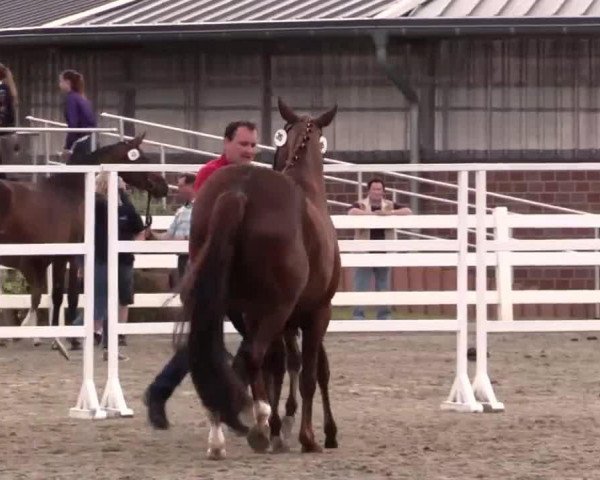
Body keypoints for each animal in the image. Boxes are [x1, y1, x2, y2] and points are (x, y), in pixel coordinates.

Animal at [0, 133, 168, 354]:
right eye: (142, 158)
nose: (163, 187)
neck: (68, 192)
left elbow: (68, 296)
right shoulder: (64, 256)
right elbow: (61, 296)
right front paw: (62, 340)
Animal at [178, 98, 340, 462]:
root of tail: (238, 193)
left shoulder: (279, 319)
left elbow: (282, 366)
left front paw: (284, 426)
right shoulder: (318, 313)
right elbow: (310, 373)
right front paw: (309, 436)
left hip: (229, 307)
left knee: (225, 357)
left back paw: (225, 433)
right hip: (275, 310)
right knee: (254, 357)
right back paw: (260, 423)